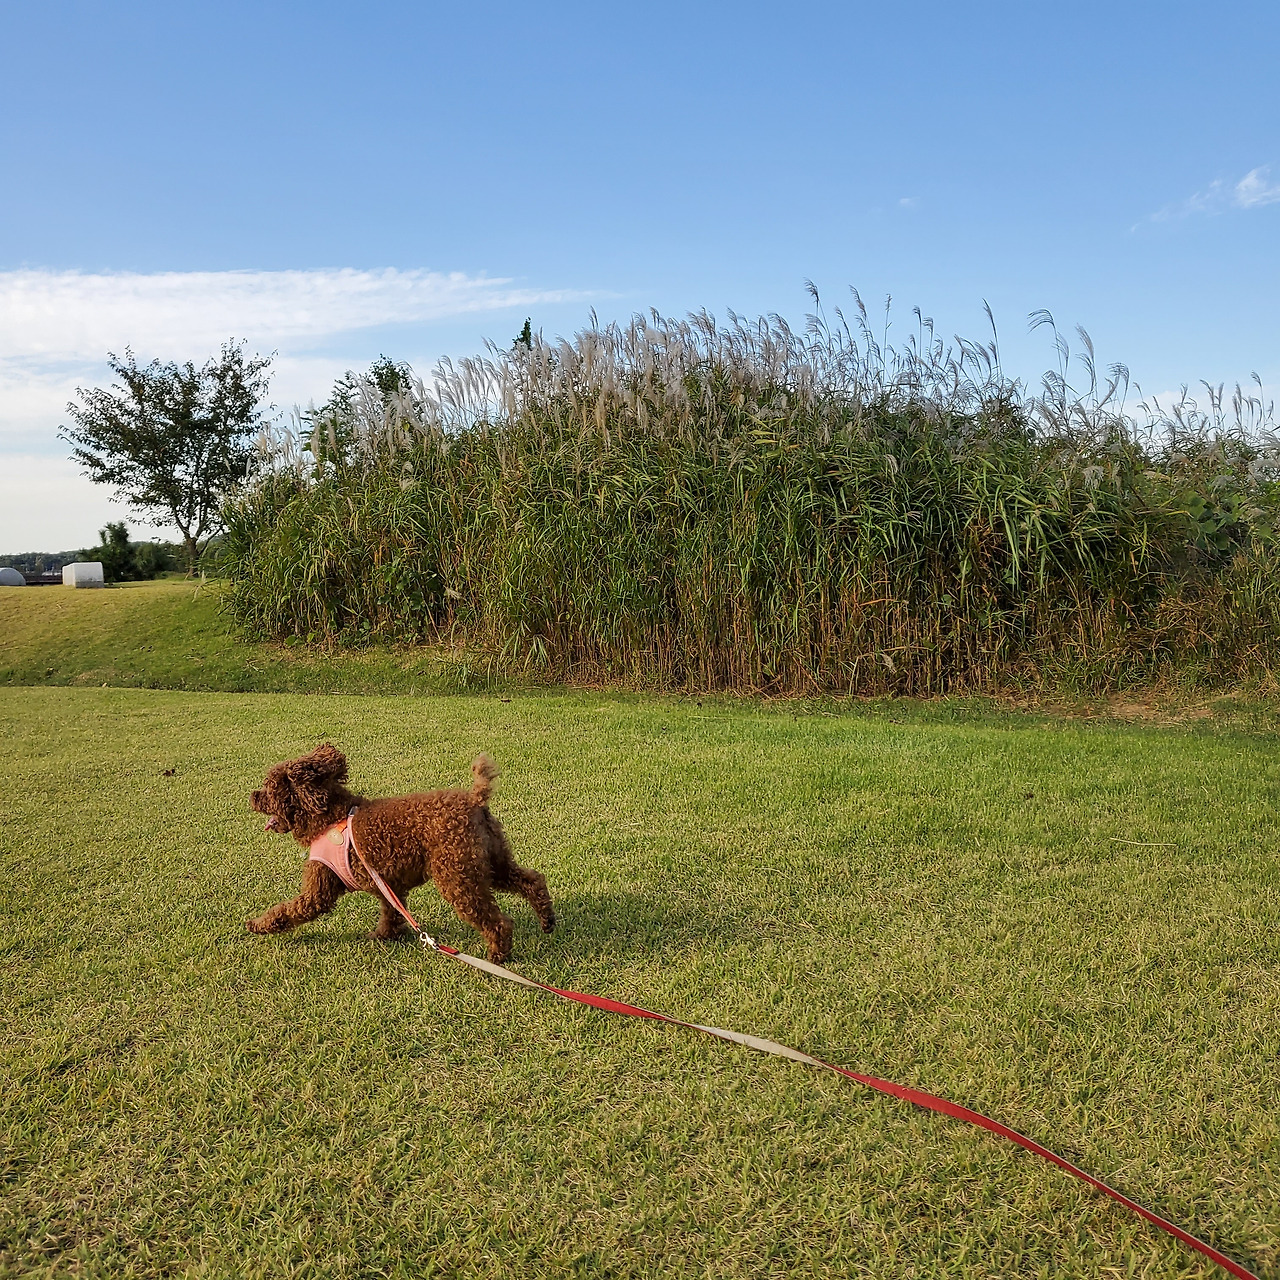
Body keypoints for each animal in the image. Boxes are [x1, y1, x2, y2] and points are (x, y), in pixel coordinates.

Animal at [247, 744, 554, 962]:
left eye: (269, 788)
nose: (252, 796)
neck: (328, 816)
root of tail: (474, 799)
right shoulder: (388, 885)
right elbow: (391, 913)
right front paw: (385, 935)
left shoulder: (320, 889)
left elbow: (289, 910)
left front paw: (257, 925)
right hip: (491, 861)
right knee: (531, 880)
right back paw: (547, 920)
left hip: (457, 875)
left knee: (498, 921)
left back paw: (498, 955)